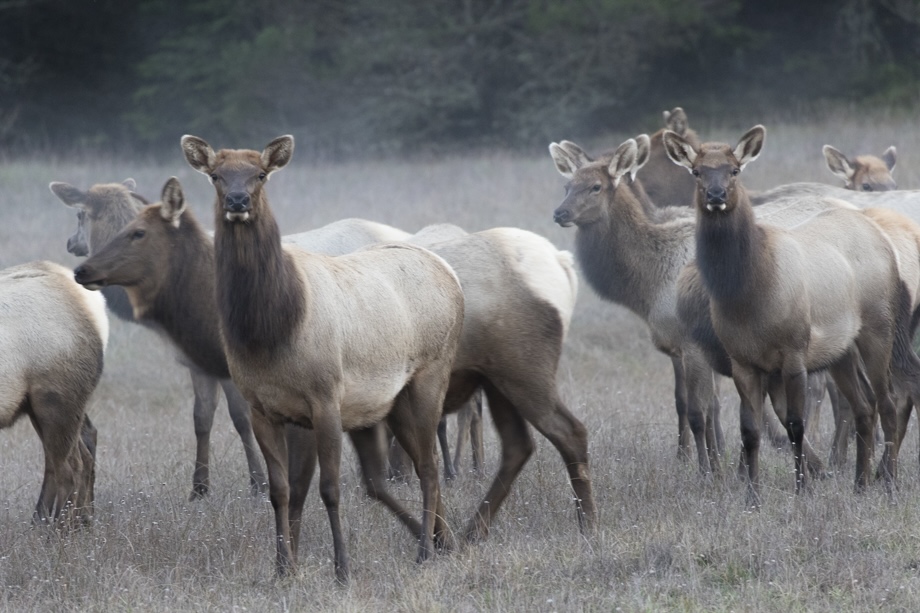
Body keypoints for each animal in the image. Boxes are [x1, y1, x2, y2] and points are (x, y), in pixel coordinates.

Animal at [50, 179, 268, 500]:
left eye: (79, 215)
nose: (70, 243)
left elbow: (241, 417)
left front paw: (259, 483)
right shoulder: (197, 362)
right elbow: (202, 417)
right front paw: (199, 488)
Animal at [182, 135, 464, 584]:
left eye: (260, 174)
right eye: (216, 176)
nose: (238, 200)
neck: (273, 332)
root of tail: (449, 273)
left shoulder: (326, 397)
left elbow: (329, 489)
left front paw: (342, 569)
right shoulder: (265, 408)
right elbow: (282, 490)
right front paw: (283, 567)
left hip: (431, 372)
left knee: (429, 465)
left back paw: (424, 550)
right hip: (390, 401)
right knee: (404, 471)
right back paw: (444, 540)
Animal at [664, 125, 916, 502]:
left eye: (734, 170)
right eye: (696, 171)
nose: (716, 194)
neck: (748, 297)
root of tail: (883, 240)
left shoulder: (795, 351)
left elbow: (797, 424)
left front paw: (802, 489)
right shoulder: (742, 361)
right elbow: (750, 430)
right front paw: (752, 497)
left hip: (879, 328)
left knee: (888, 400)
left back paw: (888, 483)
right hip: (840, 349)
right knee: (864, 405)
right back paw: (860, 483)